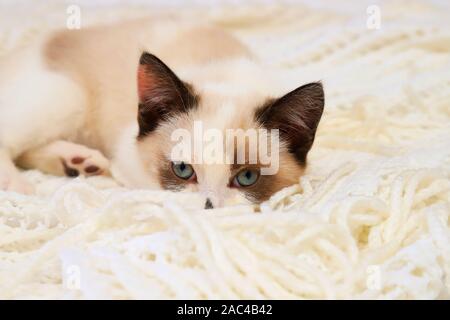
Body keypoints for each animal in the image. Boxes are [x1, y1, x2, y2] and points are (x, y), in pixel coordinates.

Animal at [0, 18, 324, 208]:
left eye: (246, 177)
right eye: (182, 170)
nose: (210, 207)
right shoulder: (127, 160)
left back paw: (78, 163)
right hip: (67, 98)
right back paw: (17, 186)